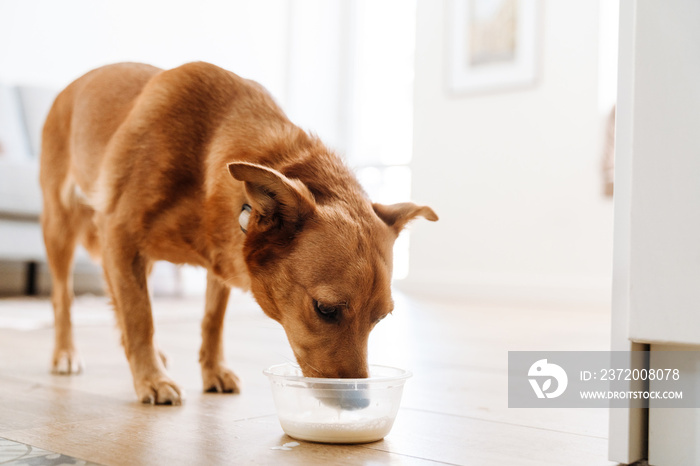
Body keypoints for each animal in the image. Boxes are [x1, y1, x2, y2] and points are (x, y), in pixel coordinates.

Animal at [39, 62, 438, 404]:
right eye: (325, 310)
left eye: (380, 319)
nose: (359, 403)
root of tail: (72, 86)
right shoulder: (121, 237)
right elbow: (141, 317)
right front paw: (151, 380)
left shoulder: (218, 260)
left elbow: (211, 321)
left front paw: (212, 370)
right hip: (61, 229)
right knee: (64, 298)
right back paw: (66, 353)